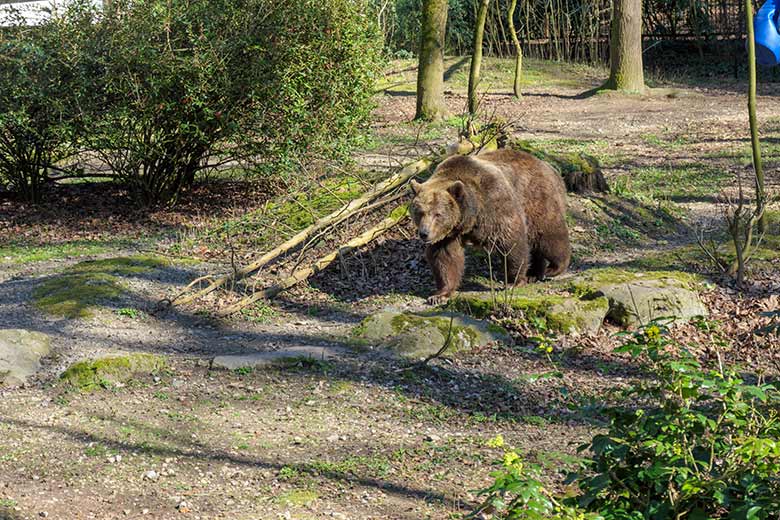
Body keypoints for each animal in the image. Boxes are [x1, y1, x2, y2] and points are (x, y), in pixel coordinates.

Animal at [412, 148, 568, 302]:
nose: (424, 233)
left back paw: (554, 268)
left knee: (548, 234)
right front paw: (439, 295)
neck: (470, 217)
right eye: (420, 212)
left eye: (437, 214)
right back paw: (534, 273)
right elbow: (445, 257)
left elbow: (510, 241)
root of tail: (548, 167)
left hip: (536, 198)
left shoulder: (494, 203)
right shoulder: (448, 234)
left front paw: (513, 281)